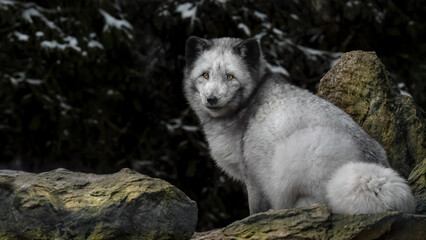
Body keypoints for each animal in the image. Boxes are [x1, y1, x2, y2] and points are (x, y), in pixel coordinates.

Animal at [181, 36, 414, 214]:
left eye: (230, 77)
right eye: (205, 75)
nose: (211, 99)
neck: (244, 107)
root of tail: (375, 164)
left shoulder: (253, 174)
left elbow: (254, 209)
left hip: (300, 149)